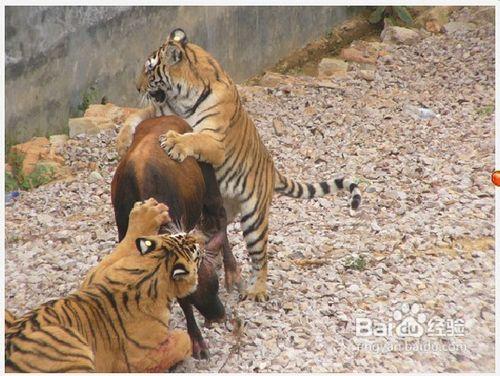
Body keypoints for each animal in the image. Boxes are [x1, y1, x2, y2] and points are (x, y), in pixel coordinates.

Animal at [4, 198, 201, 372]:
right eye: (195, 252)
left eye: (178, 235)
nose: (197, 237)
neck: (150, 271)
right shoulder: (135, 360)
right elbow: (182, 340)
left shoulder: (95, 277)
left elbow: (119, 250)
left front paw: (148, 212)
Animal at [112, 115, 240, 358]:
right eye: (192, 292)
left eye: (215, 284)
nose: (219, 316)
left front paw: (197, 342)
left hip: (210, 191)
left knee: (220, 220)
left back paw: (232, 271)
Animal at [116, 27, 360, 302]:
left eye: (149, 70)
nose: (137, 88)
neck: (181, 98)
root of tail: (272, 169)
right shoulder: (161, 111)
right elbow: (138, 116)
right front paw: (123, 140)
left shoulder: (215, 141)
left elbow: (194, 137)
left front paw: (173, 141)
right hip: (217, 209)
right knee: (214, 234)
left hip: (254, 219)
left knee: (260, 257)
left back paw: (256, 290)